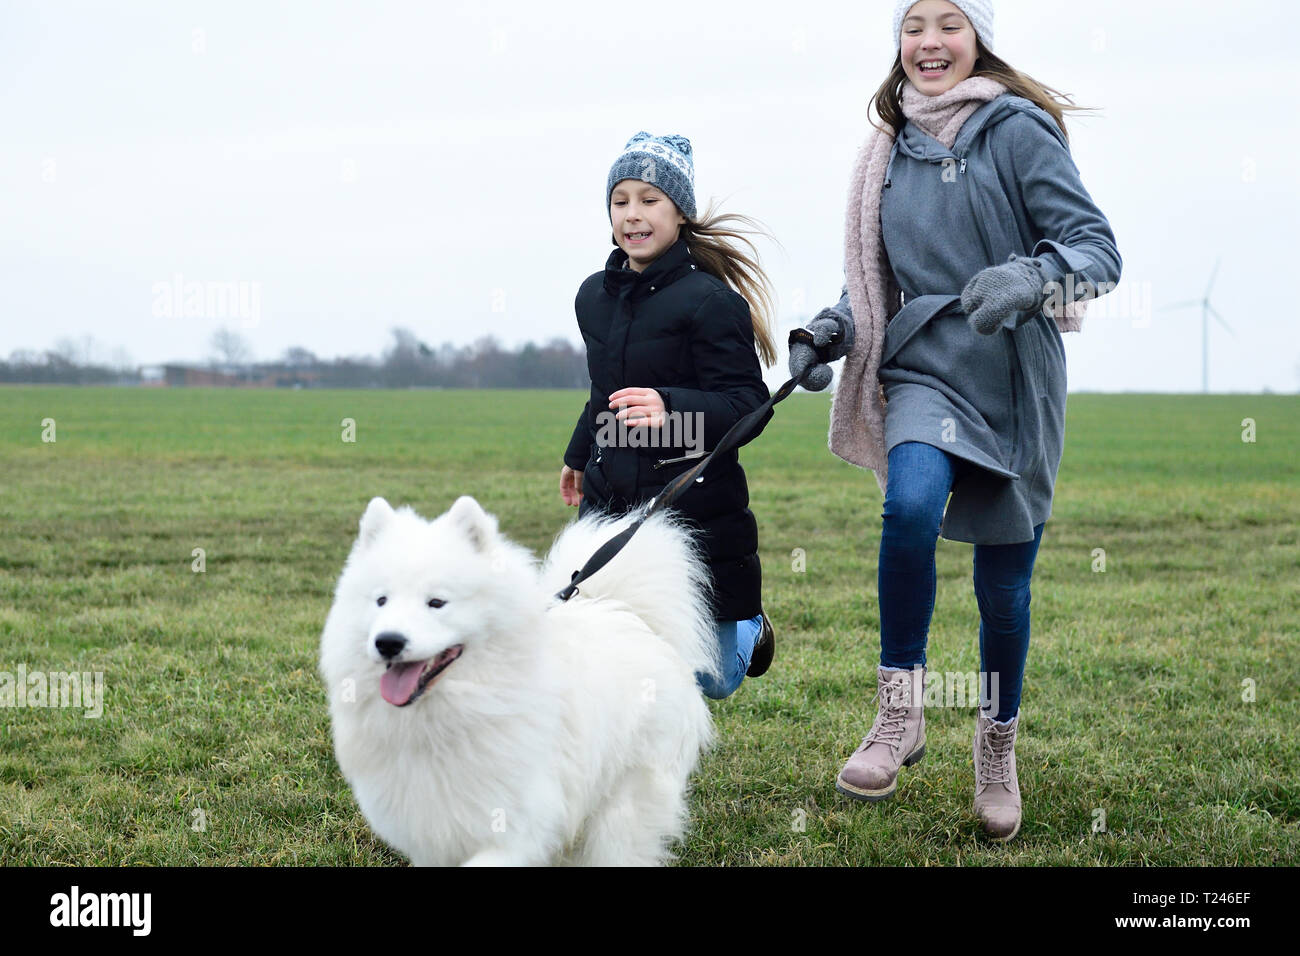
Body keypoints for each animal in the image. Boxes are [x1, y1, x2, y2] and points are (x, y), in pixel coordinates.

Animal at [318, 494, 717, 868]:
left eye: (437, 602)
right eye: (381, 601)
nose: (388, 642)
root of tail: (632, 616)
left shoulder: (514, 828)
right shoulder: (432, 834)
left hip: (623, 805)